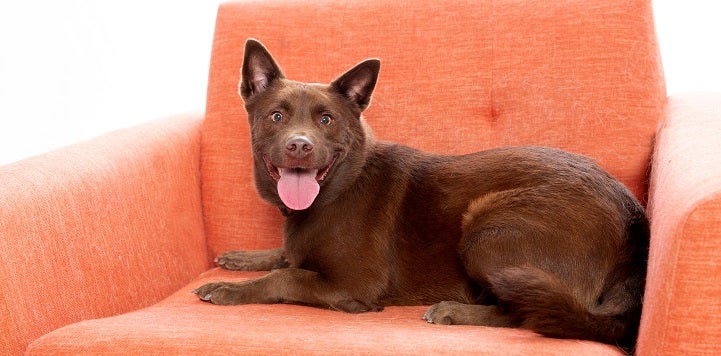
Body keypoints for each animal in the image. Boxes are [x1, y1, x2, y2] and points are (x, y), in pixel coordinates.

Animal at [194, 39, 648, 350]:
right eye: (276, 116)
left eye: (326, 119)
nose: (299, 146)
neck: (338, 187)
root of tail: (632, 214)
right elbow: (286, 255)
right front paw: (243, 258)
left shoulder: (353, 284)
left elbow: (286, 275)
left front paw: (230, 289)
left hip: (486, 228)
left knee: (527, 313)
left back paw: (453, 311)